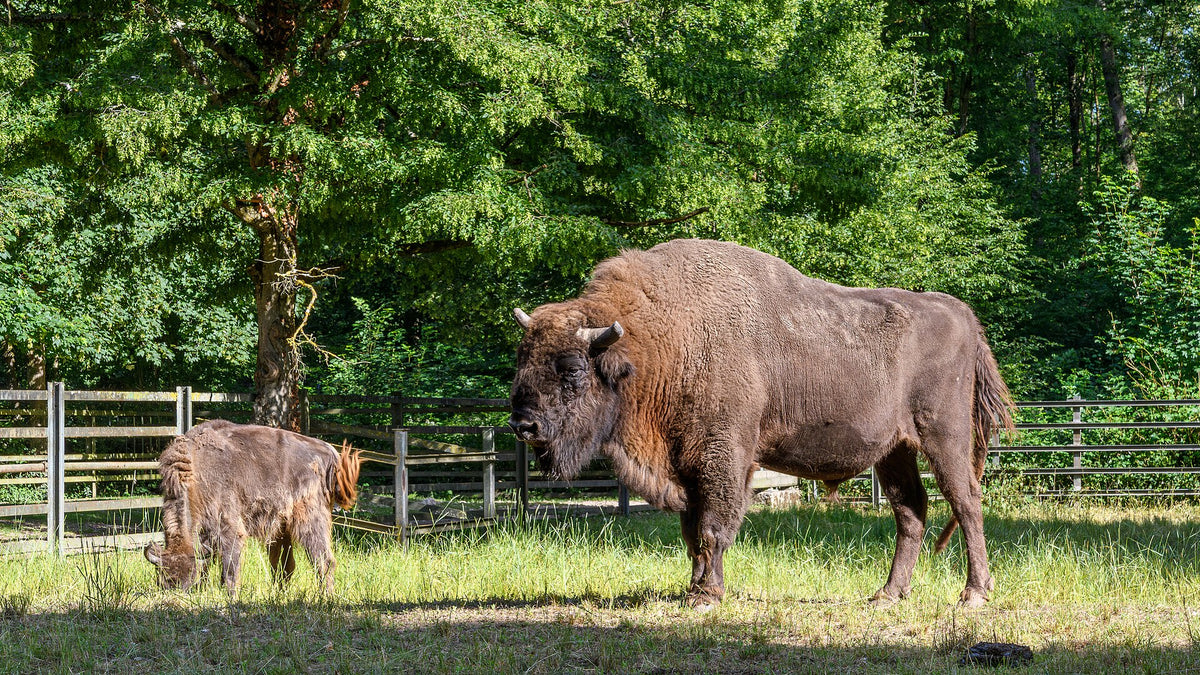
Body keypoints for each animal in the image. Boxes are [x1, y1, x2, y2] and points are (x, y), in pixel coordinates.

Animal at [509, 238, 1012, 609]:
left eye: (573, 369)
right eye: (522, 360)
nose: (522, 424)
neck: (657, 338)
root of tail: (961, 313)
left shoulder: (724, 457)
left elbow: (714, 527)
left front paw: (706, 597)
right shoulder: (686, 465)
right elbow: (692, 531)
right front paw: (695, 588)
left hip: (943, 435)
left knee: (966, 501)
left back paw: (973, 594)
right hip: (894, 449)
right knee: (911, 510)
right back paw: (887, 595)